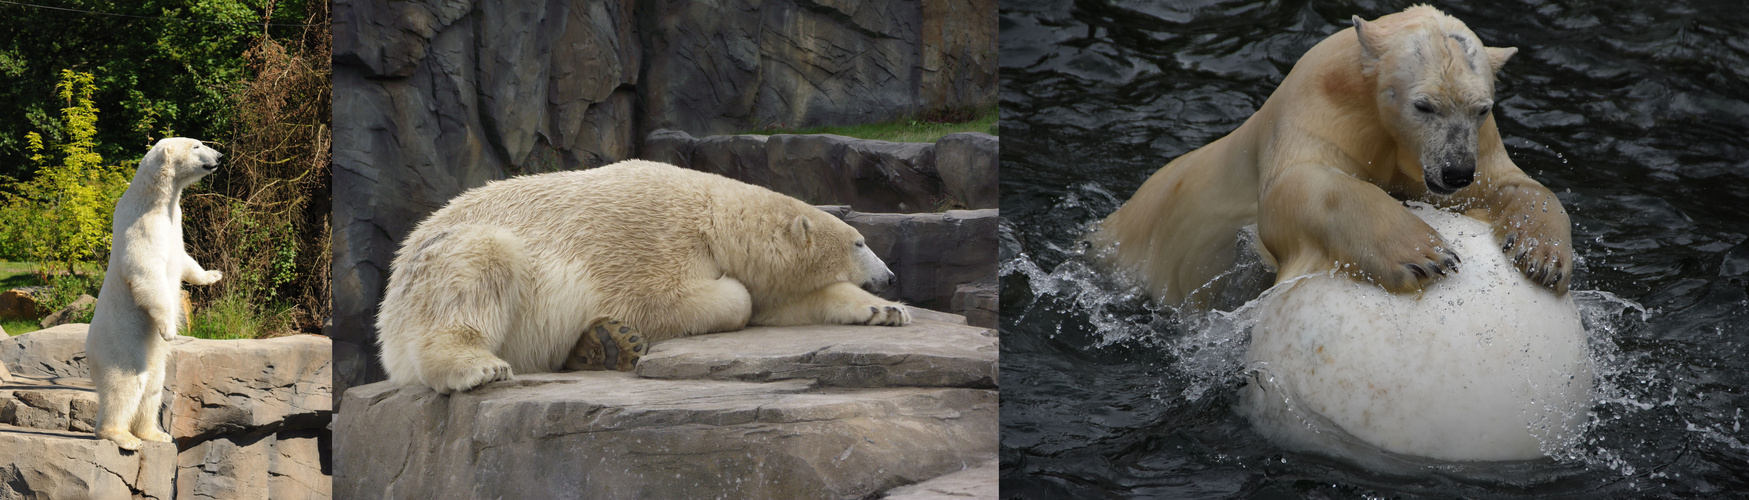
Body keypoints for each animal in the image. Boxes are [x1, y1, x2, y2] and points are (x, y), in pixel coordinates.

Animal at [86, 136, 225, 447]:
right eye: (197, 146)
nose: (220, 156)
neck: (155, 200)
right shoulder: (142, 226)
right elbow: (146, 273)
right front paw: (170, 329)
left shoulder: (176, 222)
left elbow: (184, 258)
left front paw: (213, 275)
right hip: (121, 341)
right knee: (128, 382)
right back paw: (122, 436)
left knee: (154, 384)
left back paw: (154, 433)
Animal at [374, 159, 909, 395]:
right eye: (860, 242)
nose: (889, 276)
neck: (715, 216)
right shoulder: (652, 239)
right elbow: (677, 299)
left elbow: (778, 303)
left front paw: (885, 311)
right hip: (439, 266)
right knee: (480, 265)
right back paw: (479, 367)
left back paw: (603, 346)